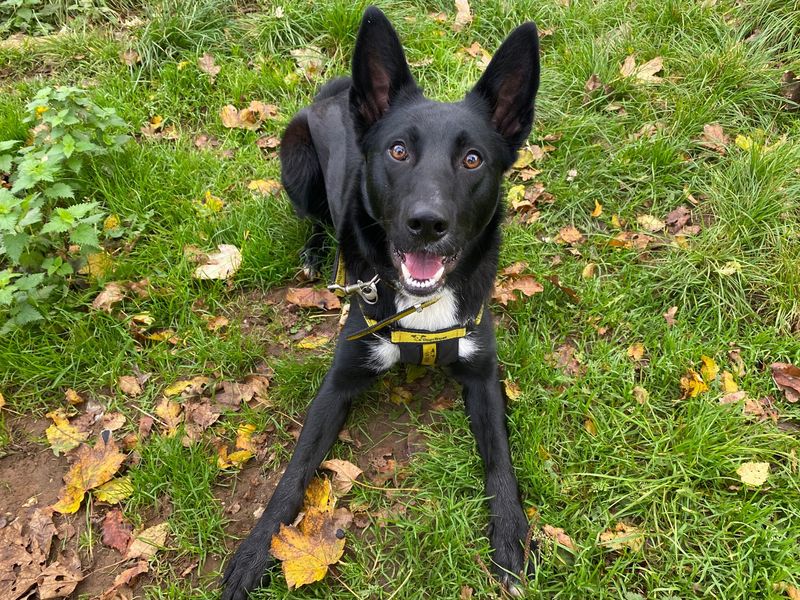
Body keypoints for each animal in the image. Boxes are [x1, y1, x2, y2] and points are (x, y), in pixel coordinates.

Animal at [222, 7, 540, 596]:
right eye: (398, 151)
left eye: (472, 159)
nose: (426, 224)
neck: (421, 308)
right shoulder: (339, 380)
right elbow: (292, 475)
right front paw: (255, 552)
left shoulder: (483, 373)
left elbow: (501, 464)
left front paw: (511, 536)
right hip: (297, 164)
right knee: (313, 218)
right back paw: (314, 252)